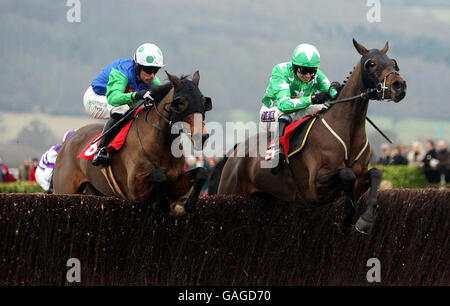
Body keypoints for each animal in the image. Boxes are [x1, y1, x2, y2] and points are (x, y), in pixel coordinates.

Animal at [53, 71, 213, 215]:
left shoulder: (175, 185)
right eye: (181, 102)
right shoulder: (133, 190)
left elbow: (202, 172)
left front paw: (189, 204)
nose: (202, 136)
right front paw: (162, 205)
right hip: (65, 190)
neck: (162, 145)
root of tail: (68, 141)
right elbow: (158, 176)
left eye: (203, 101)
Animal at [213, 38, 406, 234]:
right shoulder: (314, 187)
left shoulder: (360, 182)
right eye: (371, 63)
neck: (347, 132)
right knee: (282, 114)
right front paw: (347, 220)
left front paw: (364, 220)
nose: (399, 85)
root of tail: (236, 150)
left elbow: (375, 174)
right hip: (231, 189)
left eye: (393, 62)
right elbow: (346, 174)